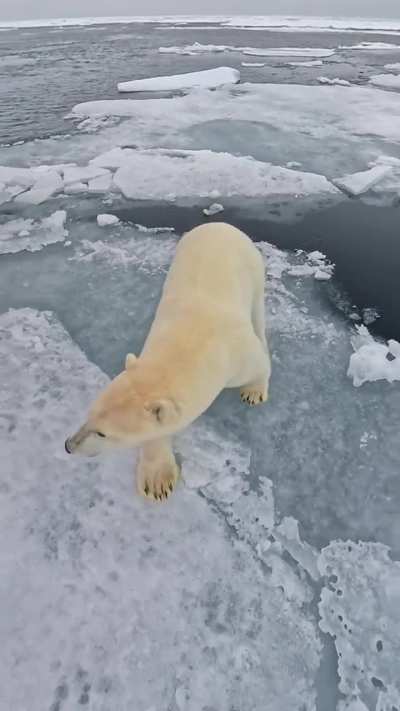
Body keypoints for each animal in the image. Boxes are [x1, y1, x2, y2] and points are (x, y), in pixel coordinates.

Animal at [65, 222, 271, 501]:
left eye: (103, 433)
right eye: (90, 413)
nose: (69, 446)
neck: (192, 341)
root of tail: (218, 224)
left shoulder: (238, 354)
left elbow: (258, 365)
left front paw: (253, 392)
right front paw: (157, 480)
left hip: (252, 266)